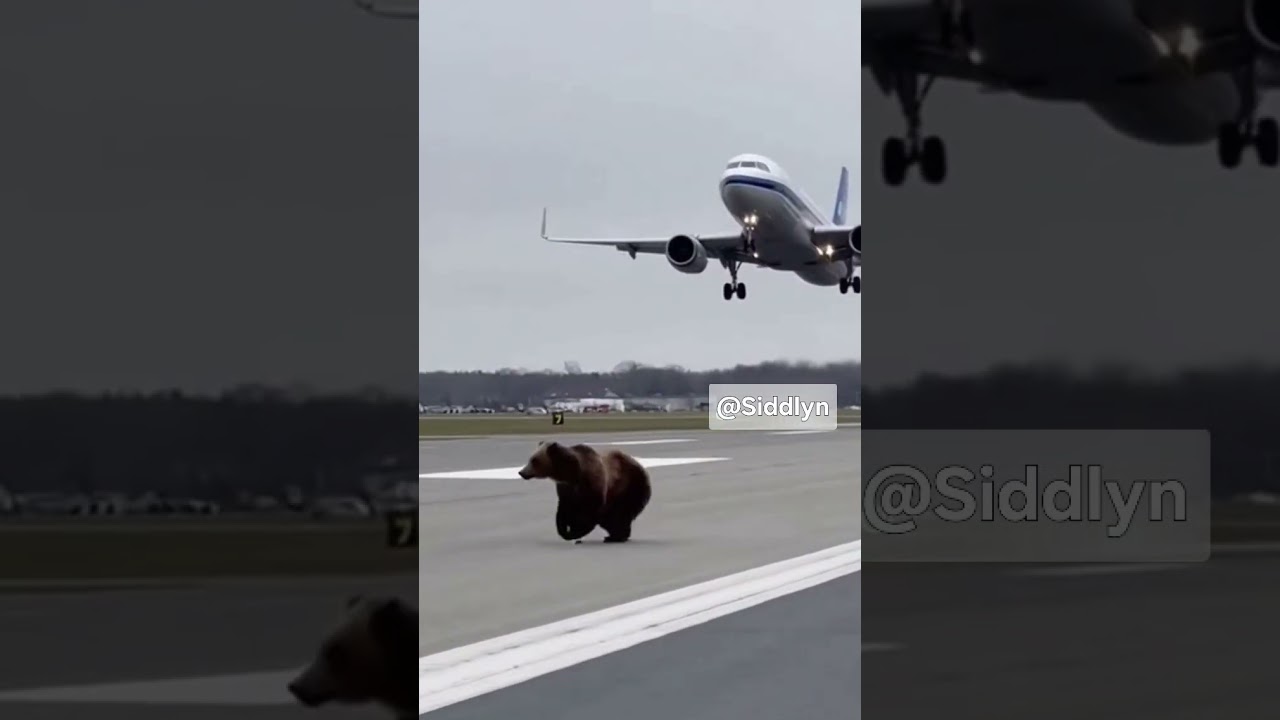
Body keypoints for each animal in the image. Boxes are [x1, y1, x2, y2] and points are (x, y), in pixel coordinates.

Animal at [517, 440, 652, 543]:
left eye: (534, 460)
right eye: (530, 458)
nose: (521, 472)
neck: (572, 474)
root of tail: (639, 465)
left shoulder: (592, 483)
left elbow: (590, 512)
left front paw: (574, 532)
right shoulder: (566, 490)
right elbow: (563, 509)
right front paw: (566, 530)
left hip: (629, 486)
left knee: (618, 514)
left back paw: (616, 536)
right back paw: (613, 536)